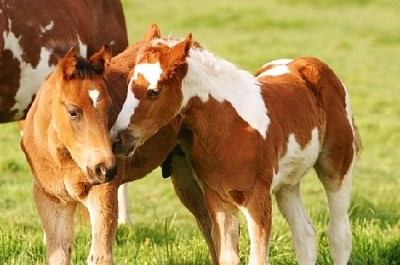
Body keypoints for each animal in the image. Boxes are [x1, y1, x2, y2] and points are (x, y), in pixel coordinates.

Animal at [111, 29, 362, 264]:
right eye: (129, 84)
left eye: (154, 91)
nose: (117, 139)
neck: (231, 127)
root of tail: (310, 63)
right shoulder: (218, 198)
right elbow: (228, 256)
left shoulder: (257, 199)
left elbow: (257, 259)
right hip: (287, 183)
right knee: (305, 234)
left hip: (336, 167)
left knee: (339, 234)